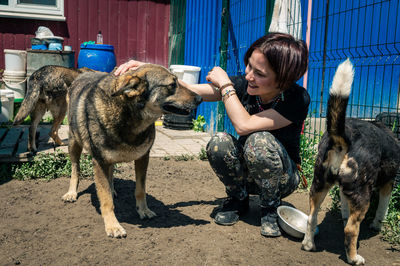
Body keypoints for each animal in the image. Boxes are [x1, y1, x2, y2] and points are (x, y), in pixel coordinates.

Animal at [61, 65, 203, 239]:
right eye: (172, 85)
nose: (200, 98)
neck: (127, 114)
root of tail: (84, 72)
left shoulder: (143, 158)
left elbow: (140, 190)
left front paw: (143, 210)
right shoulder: (100, 162)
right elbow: (105, 199)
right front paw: (113, 225)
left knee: (110, 173)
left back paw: (112, 189)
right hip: (74, 144)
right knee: (75, 169)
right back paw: (72, 193)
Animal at [304, 59, 400, 264]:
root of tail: (344, 138)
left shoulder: (343, 189)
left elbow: (345, 207)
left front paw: (344, 215)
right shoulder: (388, 183)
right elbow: (383, 207)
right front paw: (377, 224)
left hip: (319, 184)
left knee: (311, 217)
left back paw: (308, 244)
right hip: (363, 192)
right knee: (350, 229)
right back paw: (354, 258)